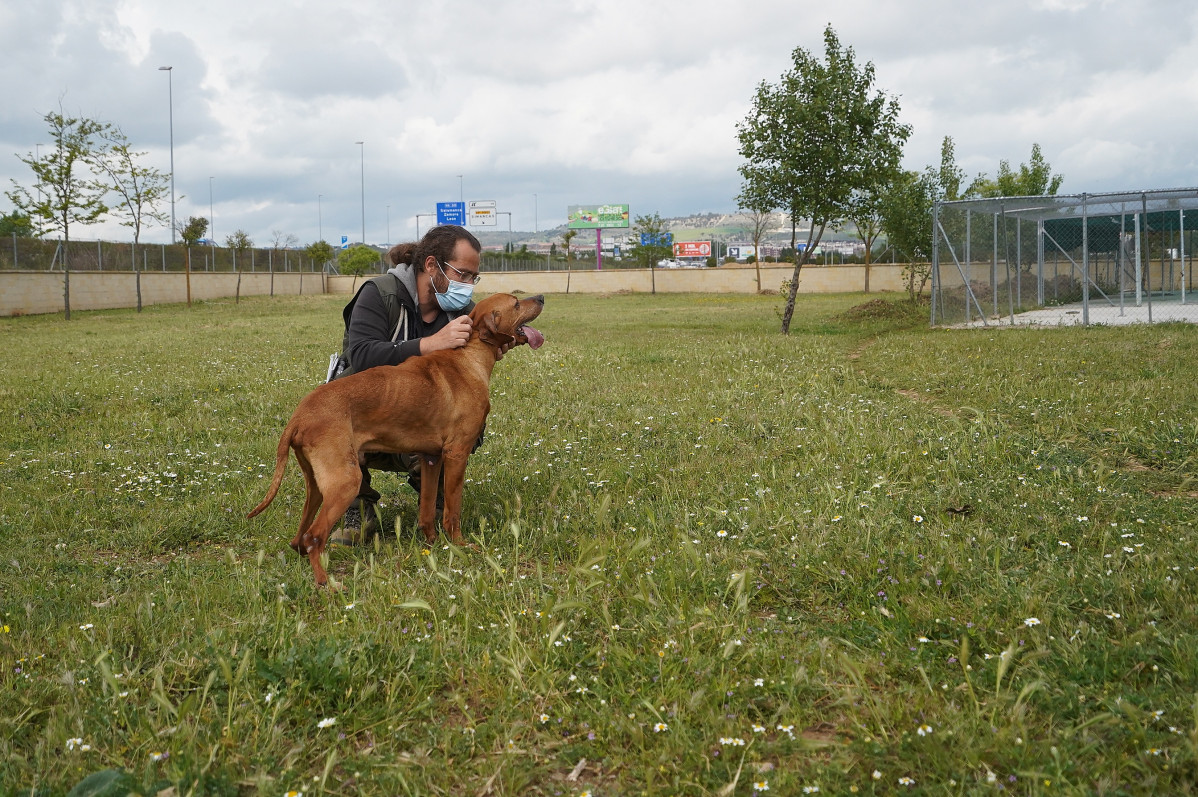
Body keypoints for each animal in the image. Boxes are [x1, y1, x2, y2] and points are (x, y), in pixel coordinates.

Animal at [249, 292, 548, 584]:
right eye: (516, 303)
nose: (542, 297)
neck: (469, 357)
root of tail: (299, 415)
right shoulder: (456, 453)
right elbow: (453, 512)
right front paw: (460, 545)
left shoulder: (431, 458)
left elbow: (427, 511)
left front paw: (433, 543)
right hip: (346, 481)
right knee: (314, 536)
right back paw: (328, 585)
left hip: (316, 485)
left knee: (299, 539)